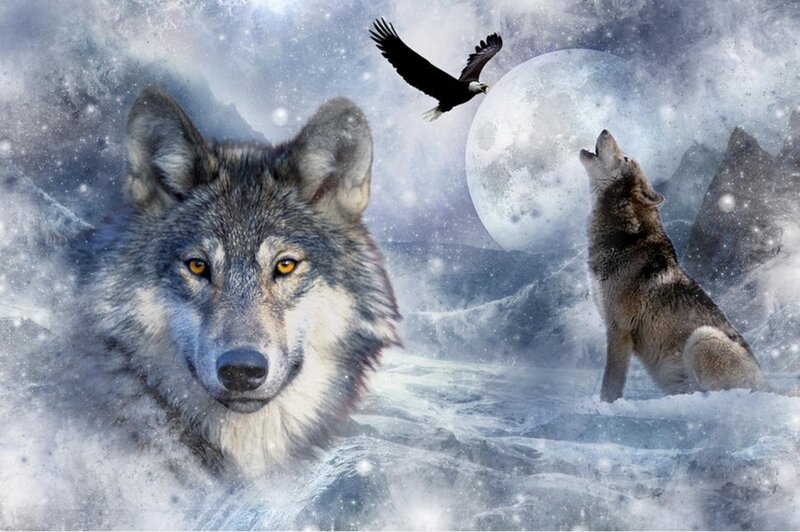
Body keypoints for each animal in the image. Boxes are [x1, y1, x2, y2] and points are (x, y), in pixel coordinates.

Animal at [580, 130, 766, 402]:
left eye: (625, 158)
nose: (605, 131)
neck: (623, 239)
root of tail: (770, 386)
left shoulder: (619, 330)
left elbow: (610, 385)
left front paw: (603, 407)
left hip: (701, 338)